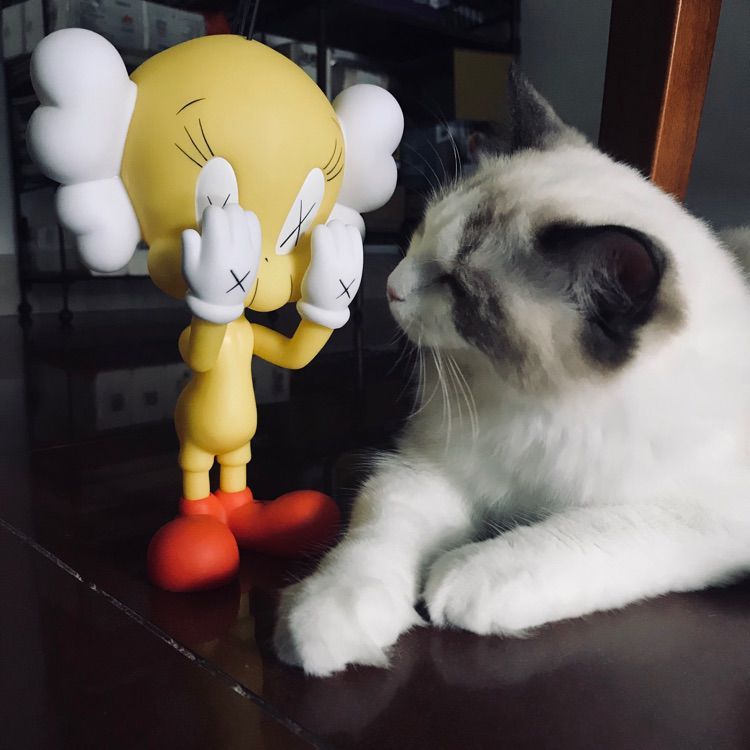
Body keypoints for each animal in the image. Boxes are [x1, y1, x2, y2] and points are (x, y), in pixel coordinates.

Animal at [273, 68, 750, 677]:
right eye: (419, 234)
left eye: (456, 284)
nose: (391, 286)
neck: (537, 406)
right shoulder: (432, 469)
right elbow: (371, 540)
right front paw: (327, 619)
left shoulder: (703, 514)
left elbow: (584, 531)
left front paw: (468, 579)